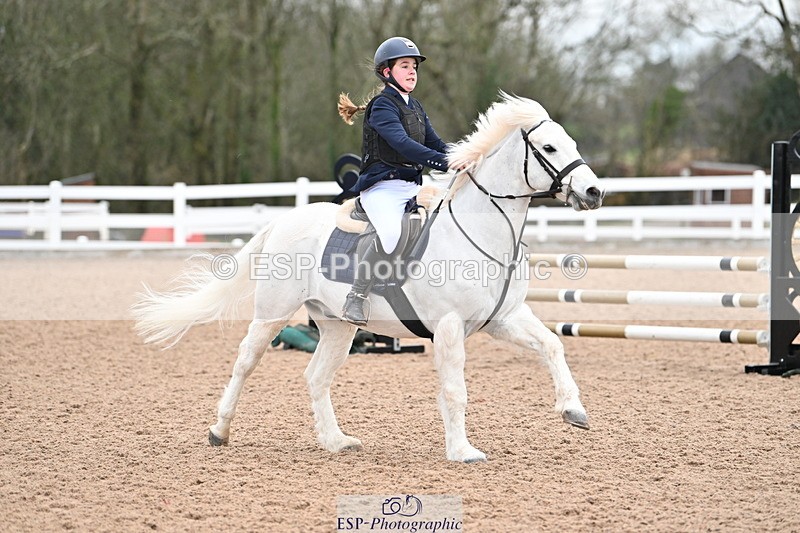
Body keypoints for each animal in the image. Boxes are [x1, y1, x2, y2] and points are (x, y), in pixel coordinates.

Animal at [132, 92, 605, 463]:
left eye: (571, 143)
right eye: (549, 147)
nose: (595, 192)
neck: (480, 230)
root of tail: (282, 221)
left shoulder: (504, 318)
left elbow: (553, 345)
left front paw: (573, 410)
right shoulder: (450, 326)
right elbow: (455, 390)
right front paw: (462, 452)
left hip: (338, 325)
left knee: (316, 377)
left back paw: (336, 441)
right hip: (273, 313)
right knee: (246, 362)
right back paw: (220, 430)